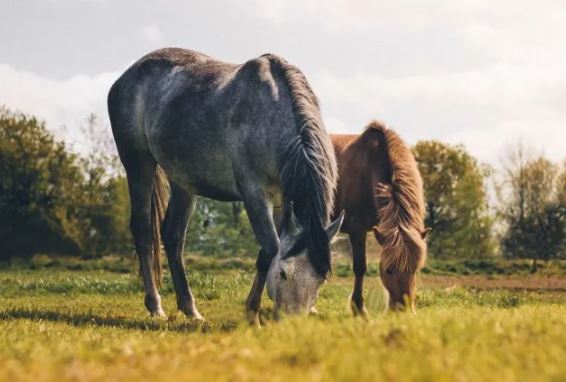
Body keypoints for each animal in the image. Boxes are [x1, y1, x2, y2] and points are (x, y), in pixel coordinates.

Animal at [108, 46, 344, 324]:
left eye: (320, 279)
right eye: (284, 273)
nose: (292, 324)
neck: (271, 114)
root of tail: (126, 76)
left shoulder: (282, 202)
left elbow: (267, 251)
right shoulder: (254, 195)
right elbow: (270, 250)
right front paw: (252, 313)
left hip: (182, 181)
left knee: (173, 236)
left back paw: (190, 309)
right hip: (138, 165)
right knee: (144, 232)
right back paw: (155, 306)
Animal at [332, 121, 430, 314]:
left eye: (415, 270)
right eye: (389, 270)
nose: (403, 310)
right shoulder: (357, 230)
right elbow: (360, 267)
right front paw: (359, 308)